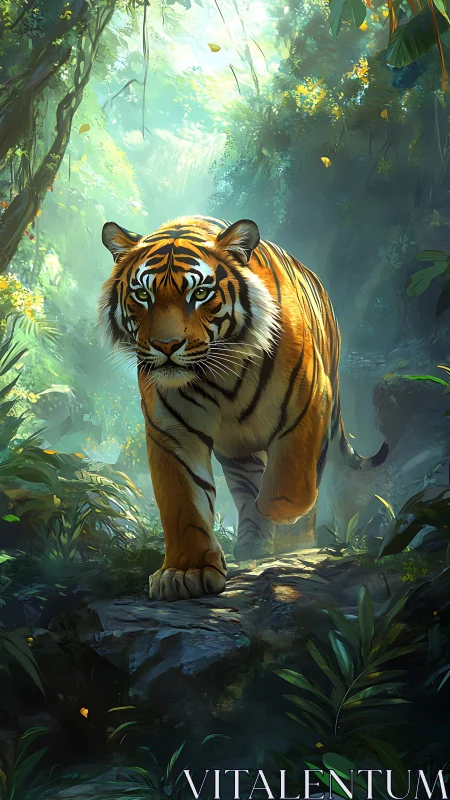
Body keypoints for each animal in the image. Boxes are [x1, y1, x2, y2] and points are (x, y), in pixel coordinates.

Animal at [100, 215, 388, 602]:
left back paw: (295, 538)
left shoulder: (310, 404)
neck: (218, 373)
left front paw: (280, 514)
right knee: (247, 485)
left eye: (200, 293)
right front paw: (185, 572)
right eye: (143, 295)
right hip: (238, 450)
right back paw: (253, 542)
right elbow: (184, 503)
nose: (166, 345)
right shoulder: (172, 432)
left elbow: (290, 485)